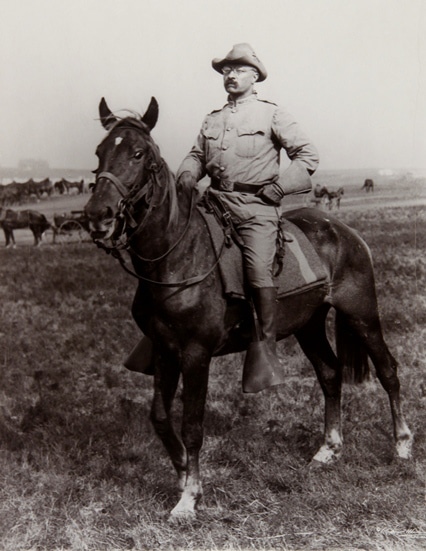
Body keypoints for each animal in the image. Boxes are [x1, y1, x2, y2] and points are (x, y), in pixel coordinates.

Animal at [84, 98, 412, 520]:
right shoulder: (163, 350)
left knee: (388, 371)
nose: (97, 216)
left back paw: (401, 444)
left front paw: (189, 497)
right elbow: (159, 417)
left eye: (139, 154)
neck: (178, 256)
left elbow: (192, 425)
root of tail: (344, 231)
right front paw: (181, 475)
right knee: (330, 374)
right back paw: (328, 449)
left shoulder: (195, 354)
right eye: (99, 152)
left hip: (362, 315)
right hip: (308, 325)